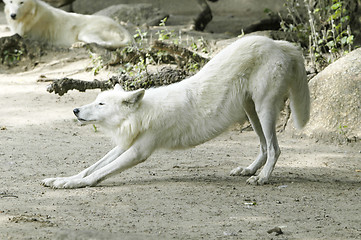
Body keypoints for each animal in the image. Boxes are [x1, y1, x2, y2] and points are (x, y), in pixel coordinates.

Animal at [2, 0, 132, 48]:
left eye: (21, 2)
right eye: (11, 1)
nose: (13, 15)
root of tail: (121, 28)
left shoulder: (25, 34)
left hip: (85, 33)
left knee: (103, 43)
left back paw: (78, 44)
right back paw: (78, 44)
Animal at [42, 36, 310, 189]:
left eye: (101, 105)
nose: (75, 110)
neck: (141, 115)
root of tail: (279, 43)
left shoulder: (138, 151)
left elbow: (97, 174)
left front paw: (72, 185)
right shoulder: (124, 145)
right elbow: (90, 167)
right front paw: (61, 179)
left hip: (264, 109)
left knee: (275, 148)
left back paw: (262, 178)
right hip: (251, 111)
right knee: (264, 147)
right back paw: (248, 170)